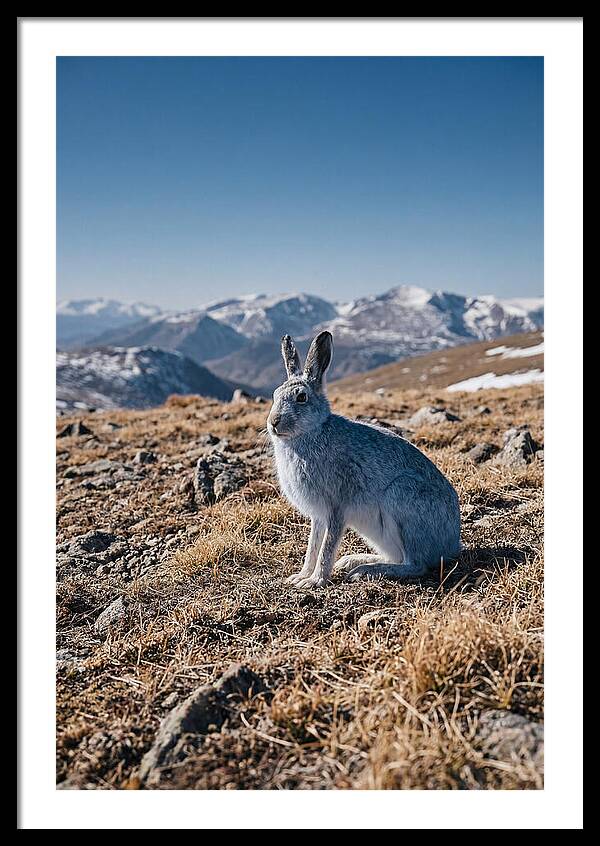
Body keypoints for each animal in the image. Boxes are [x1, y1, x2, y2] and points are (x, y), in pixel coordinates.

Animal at [267, 331, 461, 588]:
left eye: (301, 397)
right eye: (275, 395)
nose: (273, 422)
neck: (311, 432)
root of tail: (452, 545)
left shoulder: (336, 506)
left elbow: (326, 547)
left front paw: (315, 581)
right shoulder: (319, 516)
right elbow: (313, 546)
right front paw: (300, 576)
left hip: (402, 499)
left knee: (415, 564)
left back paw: (366, 570)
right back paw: (353, 561)